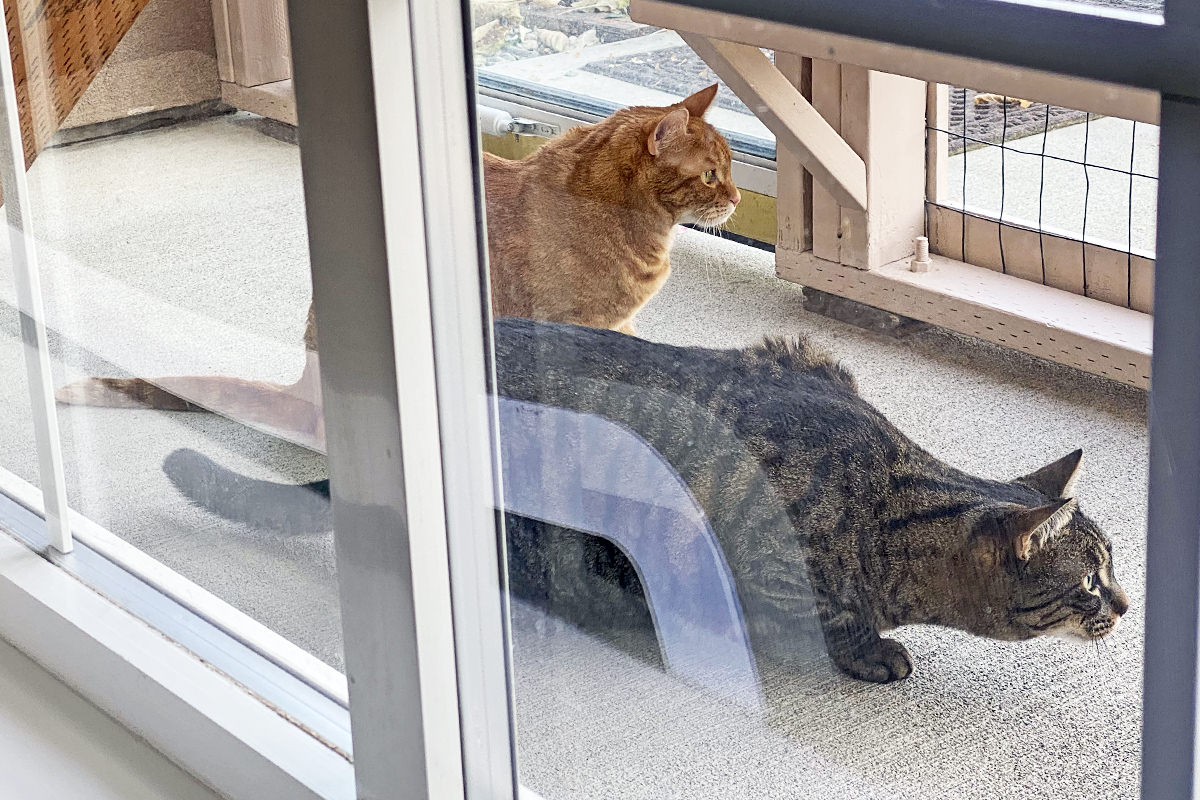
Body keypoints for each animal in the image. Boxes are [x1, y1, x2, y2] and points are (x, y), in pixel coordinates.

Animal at [54, 88, 739, 450]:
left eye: (730, 170)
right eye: (711, 175)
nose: (735, 198)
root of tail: (306, 382)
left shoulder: (620, 327)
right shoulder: (584, 327)